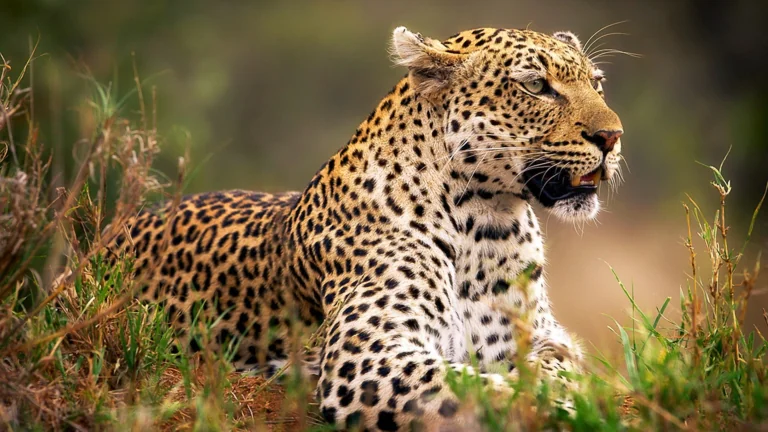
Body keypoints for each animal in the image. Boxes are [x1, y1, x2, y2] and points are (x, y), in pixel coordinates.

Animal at [108, 26, 624, 431]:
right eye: (536, 85)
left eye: (597, 83)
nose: (612, 137)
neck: (488, 224)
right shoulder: (369, 355)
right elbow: (478, 388)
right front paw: (561, 407)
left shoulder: (540, 332)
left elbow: (559, 361)